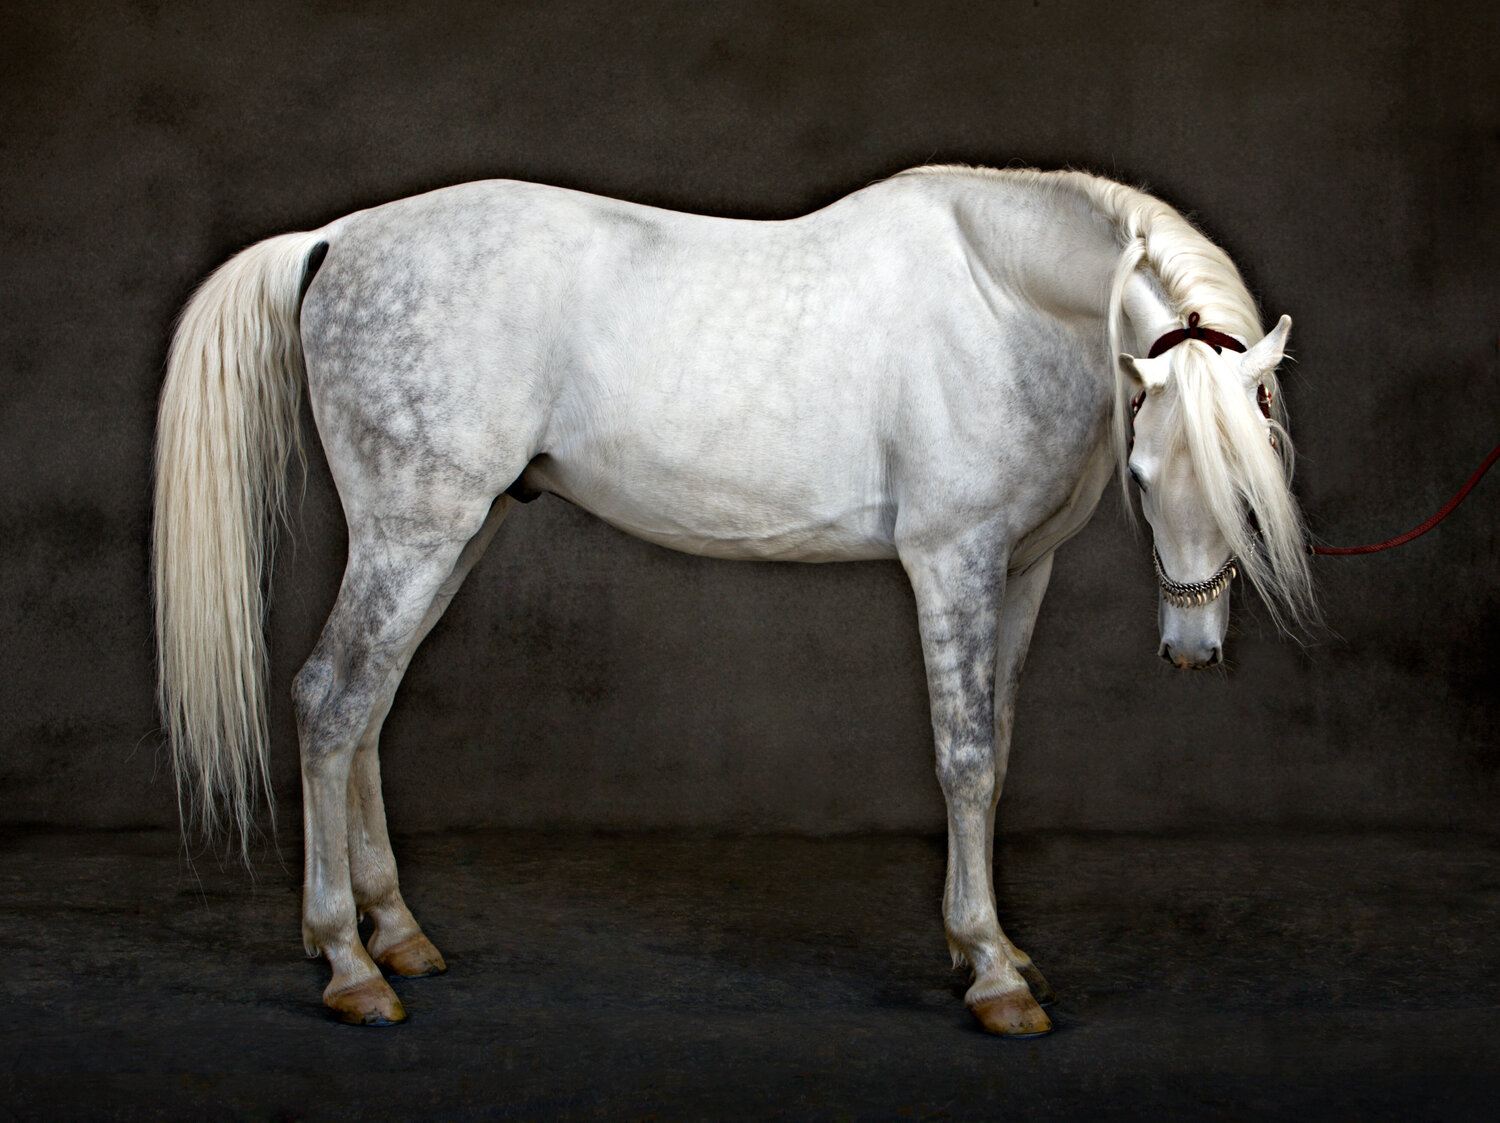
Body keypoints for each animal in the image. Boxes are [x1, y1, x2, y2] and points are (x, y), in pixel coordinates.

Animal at [153, 165, 1315, 1036]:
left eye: (1251, 477)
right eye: (1147, 475)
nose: (1191, 645)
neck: (1004, 301)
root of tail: (335, 237)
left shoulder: (1020, 572)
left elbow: (1000, 752)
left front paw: (1000, 946)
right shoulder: (953, 562)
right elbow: (965, 760)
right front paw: (989, 970)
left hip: (454, 532)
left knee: (367, 711)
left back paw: (397, 935)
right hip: (414, 531)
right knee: (328, 702)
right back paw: (349, 964)